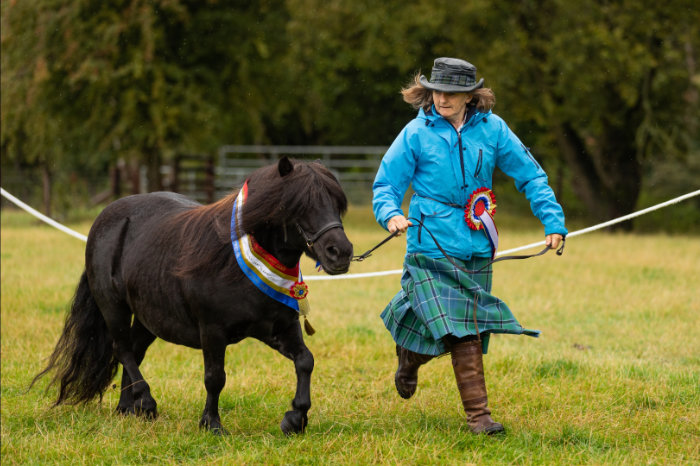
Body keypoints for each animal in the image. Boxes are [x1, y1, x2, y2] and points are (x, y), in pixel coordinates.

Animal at [30, 157, 352, 434]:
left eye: (336, 203)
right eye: (300, 204)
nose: (341, 252)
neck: (233, 260)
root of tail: (103, 221)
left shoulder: (279, 328)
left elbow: (305, 361)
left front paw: (295, 418)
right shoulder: (212, 331)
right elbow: (215, 378)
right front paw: (211, 424)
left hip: (148, 318)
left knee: (133, 351)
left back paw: (127, 408)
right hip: (113, 307)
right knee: (121, 349)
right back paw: (146, 403)